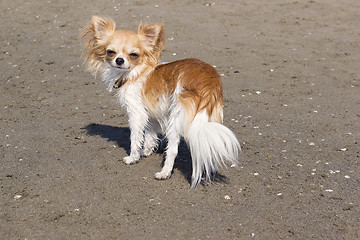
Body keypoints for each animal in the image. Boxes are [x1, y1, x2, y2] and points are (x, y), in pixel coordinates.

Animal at [81, 16, 239, 188]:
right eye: (111, 52)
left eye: (133, 54)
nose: (119, 60)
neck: (136, 72)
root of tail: (207, 81)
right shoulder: (152, 113)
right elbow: (150, 135)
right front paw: (145, 151)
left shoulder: (137, 113)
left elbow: (135, 138)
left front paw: (133, 157)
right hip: (210, 116)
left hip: (176, 119)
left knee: (173, 149)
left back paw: (164, 173)